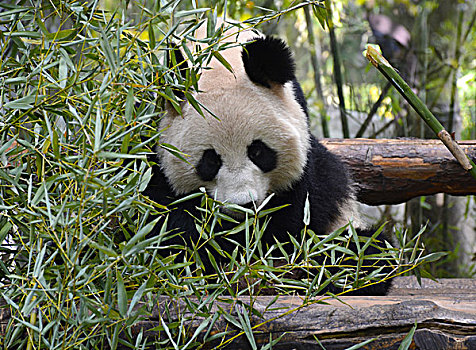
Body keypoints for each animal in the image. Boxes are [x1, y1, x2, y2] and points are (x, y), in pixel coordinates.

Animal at [144, 22, 390, 296]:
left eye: (258, 152)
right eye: (210, 161)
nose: (243, 205)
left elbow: (302, 208)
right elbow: (164, 222)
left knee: (363, 250)